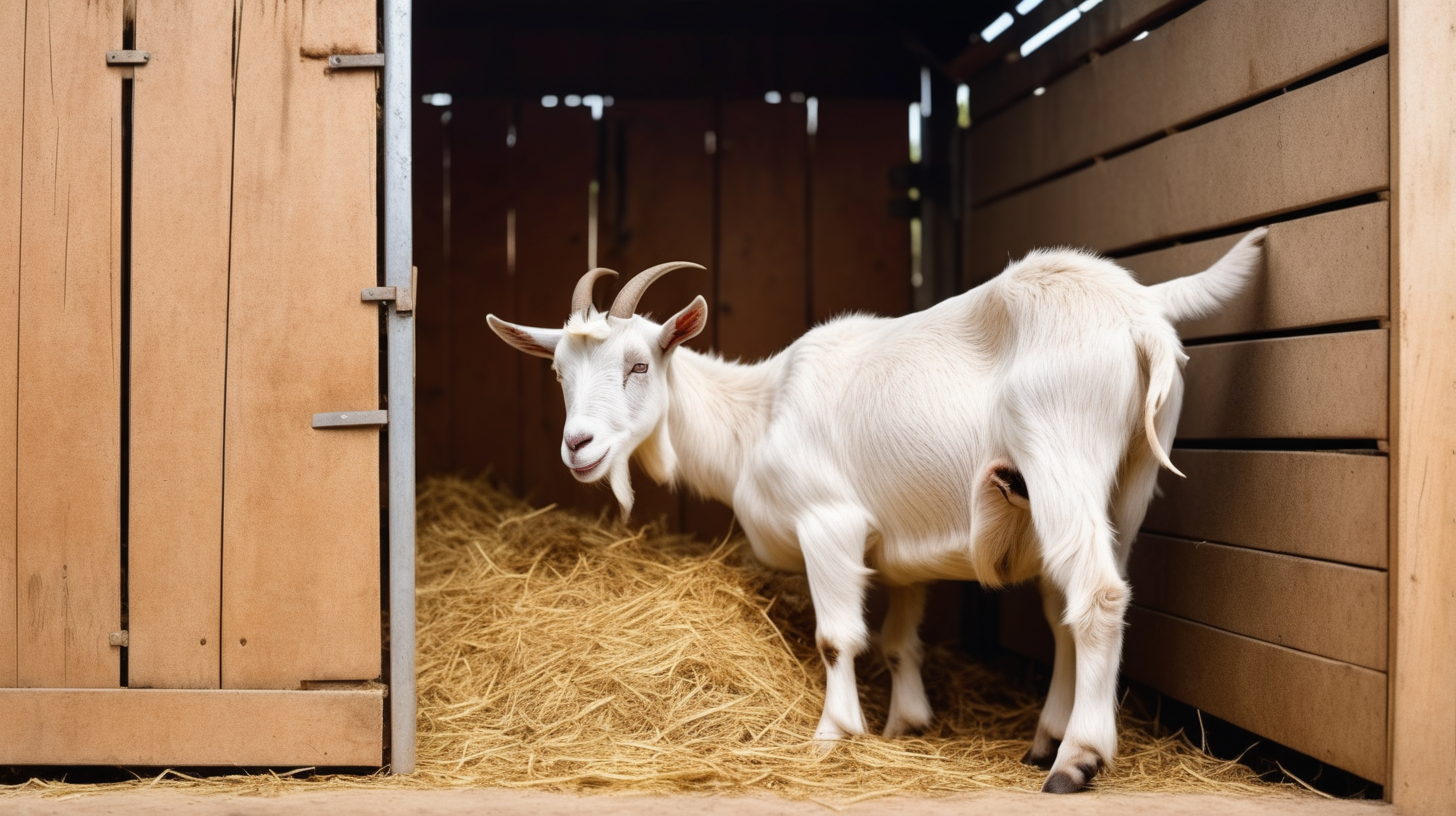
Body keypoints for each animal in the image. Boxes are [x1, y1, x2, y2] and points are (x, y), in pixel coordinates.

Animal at [486, 227, 1263, 792]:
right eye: (559, 372)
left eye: (639, 364)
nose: (578, 446)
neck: (758, 415)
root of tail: (1138, 314)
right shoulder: (899, 552)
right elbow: (898, 640)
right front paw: (906, 725)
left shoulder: (829, 523)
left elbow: (839, 638)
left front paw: (835, 733)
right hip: (1127, 483)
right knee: (1072, 605)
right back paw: (1046, 739)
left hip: (1061, 454)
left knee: (1096, 595)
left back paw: (1077, 760)